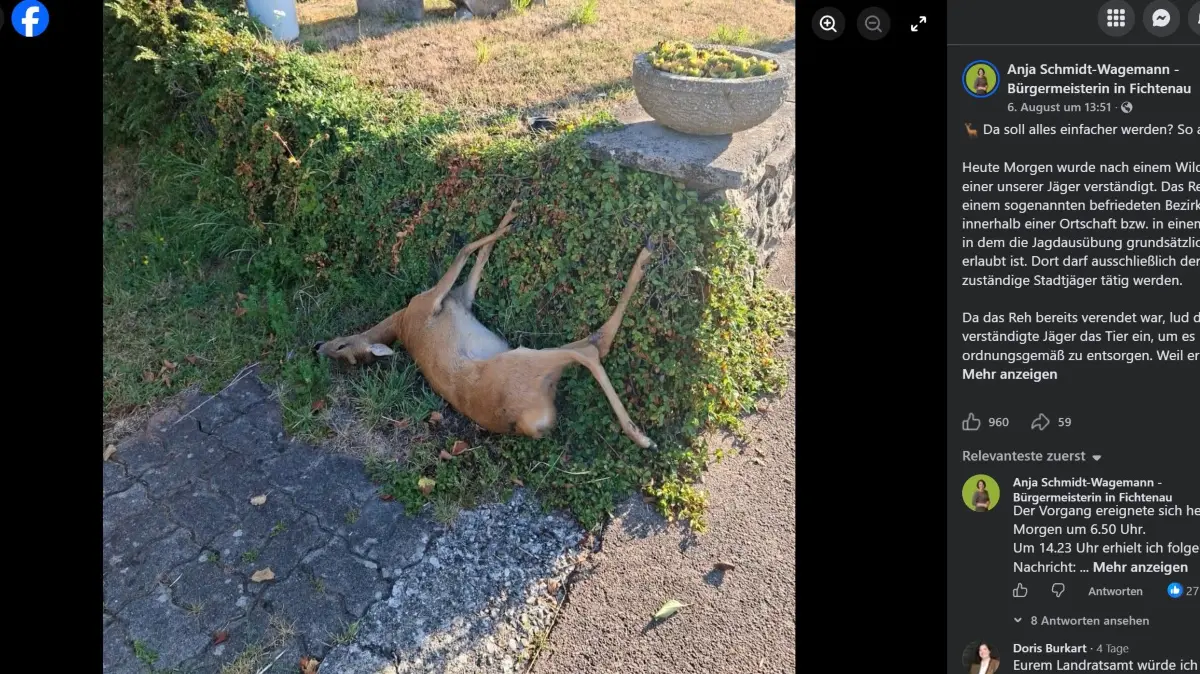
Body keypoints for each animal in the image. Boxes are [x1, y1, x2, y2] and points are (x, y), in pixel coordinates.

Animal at [314, 199, 658, 450]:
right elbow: (465, 248)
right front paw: (508, 223)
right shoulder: (431, 301)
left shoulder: (459, 299)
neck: (401, 320)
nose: (317, 346)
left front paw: (508, 218)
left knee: (589, 343)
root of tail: (531, 422)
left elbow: (476, 260)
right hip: (521, 358)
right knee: (592, 349)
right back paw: (641, 437)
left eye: (341, 346)